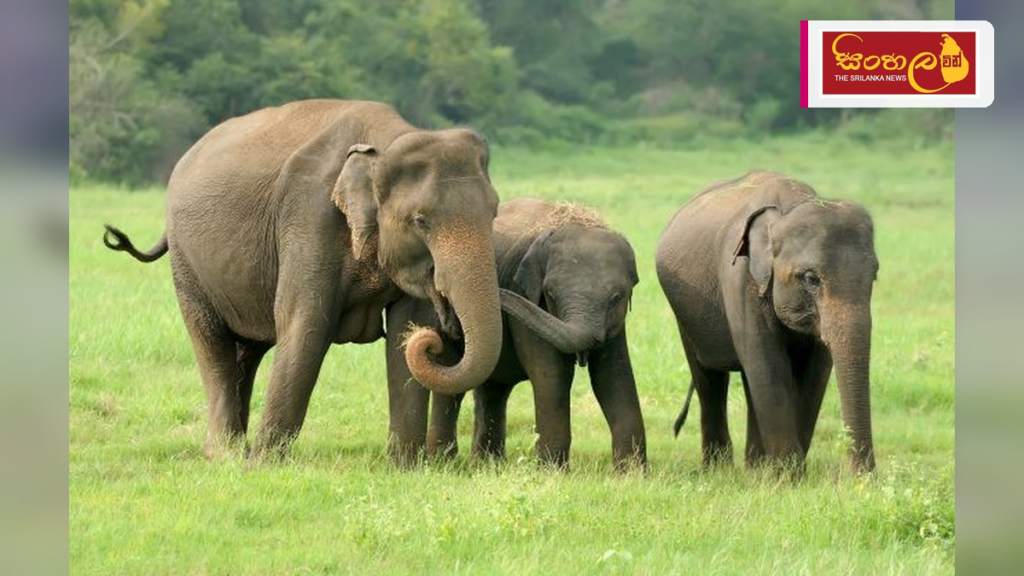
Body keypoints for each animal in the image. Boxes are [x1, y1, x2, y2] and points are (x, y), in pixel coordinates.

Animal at [102, 99, 505, 462]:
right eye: (420, 221)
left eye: (494, 212)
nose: (443, 336)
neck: (387, 138)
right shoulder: (308, 217)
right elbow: (305, 324)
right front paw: (263, 466)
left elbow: (407, 327)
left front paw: (403, 466)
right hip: (187, 264)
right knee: (212, 344)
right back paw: (227, 455)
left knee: (247, 352)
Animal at [385, 198, 647, 470]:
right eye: (550, 294)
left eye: (616, 298)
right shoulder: (528, 302)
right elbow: (552, 375)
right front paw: (553, 473)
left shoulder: (616, 325)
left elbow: (613, 376)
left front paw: (631, 474)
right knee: (453, 385)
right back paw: (445, 464)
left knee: (493, 390)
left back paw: (487, 466)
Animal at [655, 171, 878, 473]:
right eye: (811, 278)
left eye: (874, 276)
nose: (864, 478)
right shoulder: (741, 280)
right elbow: (769, 366)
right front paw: (788, 476)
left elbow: (814, 374)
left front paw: (784, 472)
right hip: (686, 316)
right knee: (709, 376)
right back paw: (720, 471)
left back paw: (754, 468)